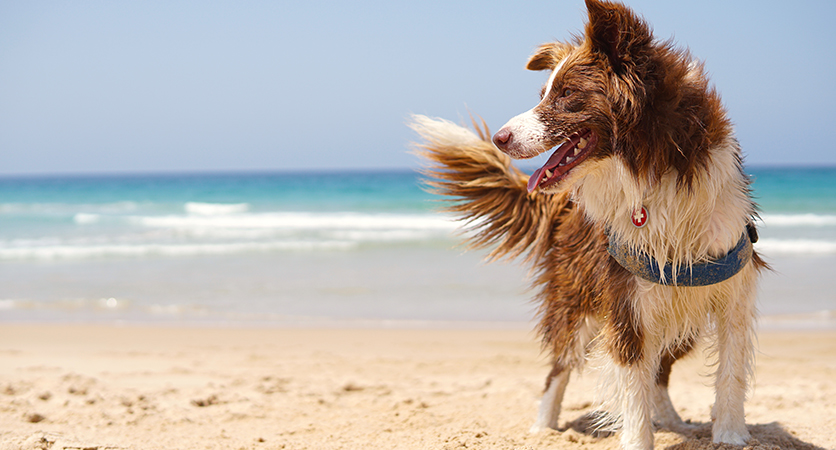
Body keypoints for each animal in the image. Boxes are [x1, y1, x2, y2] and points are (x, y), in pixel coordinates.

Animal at [410, 1, 764, 448]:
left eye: (566, 95)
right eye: (543, 94)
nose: (499, 138)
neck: (652, 168)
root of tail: (563, 204)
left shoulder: (732, 288)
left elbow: (730, 370)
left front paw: (730, 434)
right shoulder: (625, 298)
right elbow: (631, 387)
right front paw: (638, 438)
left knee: (660, 370)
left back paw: (671, 420)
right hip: (574, 299)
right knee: (560, 366)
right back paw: (542, 428)